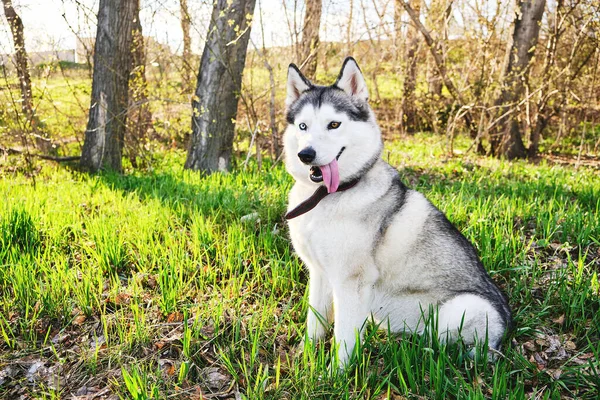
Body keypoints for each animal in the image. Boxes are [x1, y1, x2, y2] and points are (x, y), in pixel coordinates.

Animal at [284, 57, 508, 366]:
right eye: (303, 126)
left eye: (334, 124)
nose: (306, 154)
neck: (325, 197)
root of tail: (504, 334)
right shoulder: (319, 273)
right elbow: (315, 324)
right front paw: (306, 358)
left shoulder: (351, 283)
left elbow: (343, 339)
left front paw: (335, 372)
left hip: (463, 308)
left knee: (443, 344)